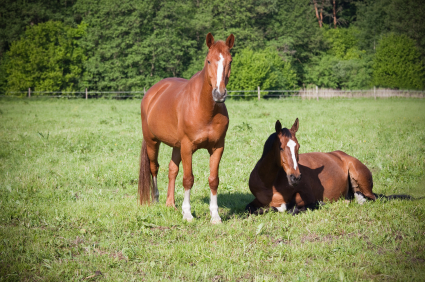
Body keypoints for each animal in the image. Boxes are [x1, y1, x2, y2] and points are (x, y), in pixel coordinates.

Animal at [137, 32, 234, 223]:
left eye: (230, 61)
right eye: (209, 61)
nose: (219, 94)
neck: (205, 109)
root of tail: (152, 92)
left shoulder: (218, 147)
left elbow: (213, 180)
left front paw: (215, 216)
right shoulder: (188, 147)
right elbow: (188, 179)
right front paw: (188, 213)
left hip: (176, 146)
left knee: (172, 170)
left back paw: (170, 203)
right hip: (153, 142)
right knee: (154, 168)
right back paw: (156, 199)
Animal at [245, 118, 378, 214]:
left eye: (298, 146)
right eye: (280, 147)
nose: (295, 177)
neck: (269, 184)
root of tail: (343, 155)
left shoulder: (307, 196)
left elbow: (291, 209)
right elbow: (250, 209)